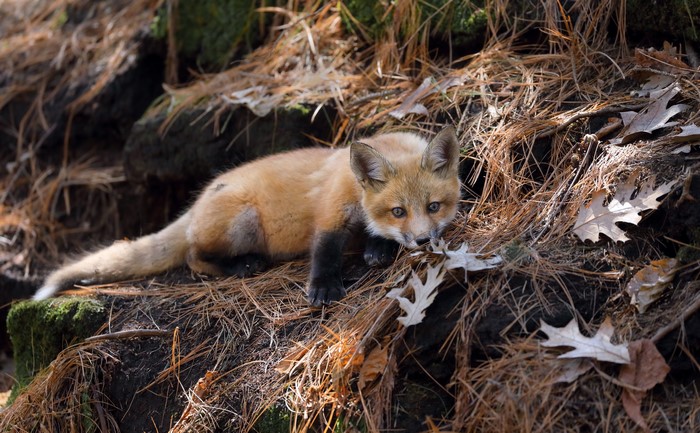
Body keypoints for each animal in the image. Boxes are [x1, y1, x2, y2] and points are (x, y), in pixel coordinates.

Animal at [33, 126, 461, 306]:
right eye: (398, 210)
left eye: (433, 207)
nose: (424, 241)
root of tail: (195, 205)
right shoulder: (330, 214)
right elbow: (324, 252)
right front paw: (323, 288)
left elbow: (376, 236)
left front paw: (377, 249)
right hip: (242, 220)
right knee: (193, 256)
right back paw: (242, 265)